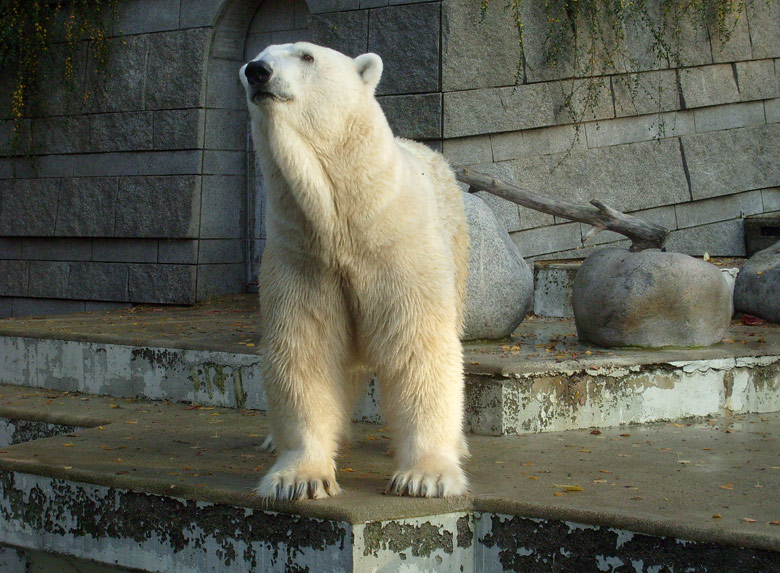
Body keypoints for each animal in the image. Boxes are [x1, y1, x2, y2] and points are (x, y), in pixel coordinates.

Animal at [238, 43, 470, 500]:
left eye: (306, 56)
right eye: (254, 57)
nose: (258, 71)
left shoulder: (398, 251)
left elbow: (419, 346)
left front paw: (426, 476)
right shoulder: (303, 259)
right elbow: (306, 350)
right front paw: (300, 478)